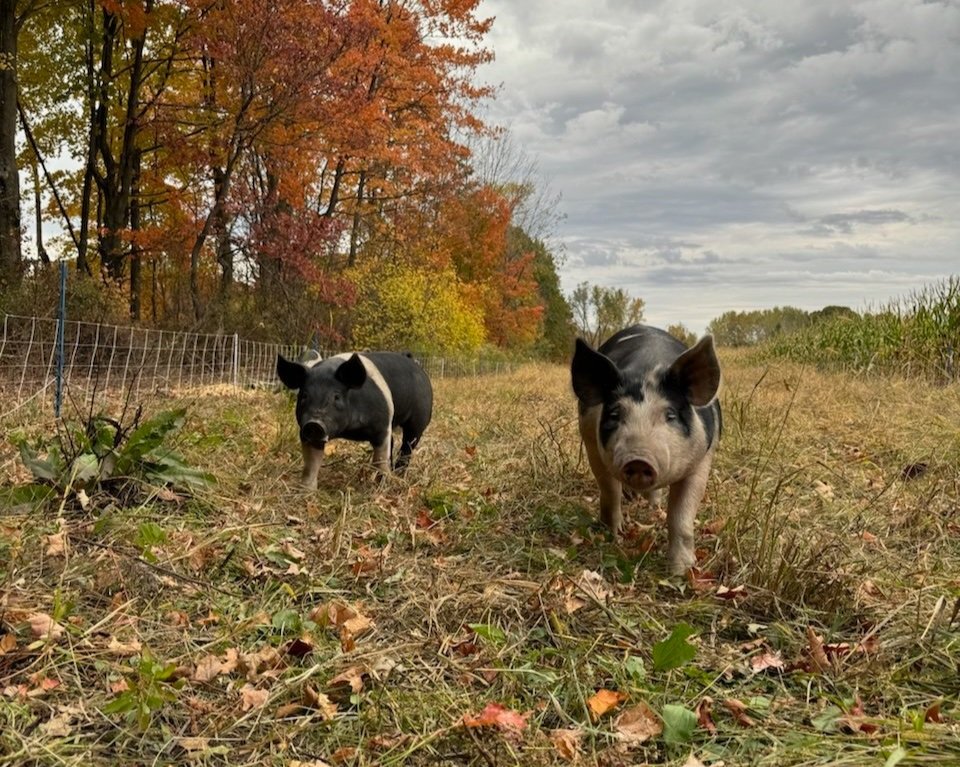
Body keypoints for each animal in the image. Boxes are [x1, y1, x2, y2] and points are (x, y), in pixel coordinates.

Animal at [276, 351, 433, 489]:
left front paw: (383, 486)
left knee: (408, 447)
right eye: (304, 396)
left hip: (418, 421)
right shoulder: (308, 435)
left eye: (337, 397)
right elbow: (311, 464)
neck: (350, 430)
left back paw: (399, 474)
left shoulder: (382, 425)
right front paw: (305, 491)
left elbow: (380, 459)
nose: (314, 424)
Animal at [570, 325, 722, 574]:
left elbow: (681, 516)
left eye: (670, 415)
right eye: (615, 414)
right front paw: (613, 535)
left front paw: (681, 572)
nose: (639, 459)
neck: (647, 369)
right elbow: (610, 491)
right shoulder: (591, 443)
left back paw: (653, 508)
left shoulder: (703, 459)